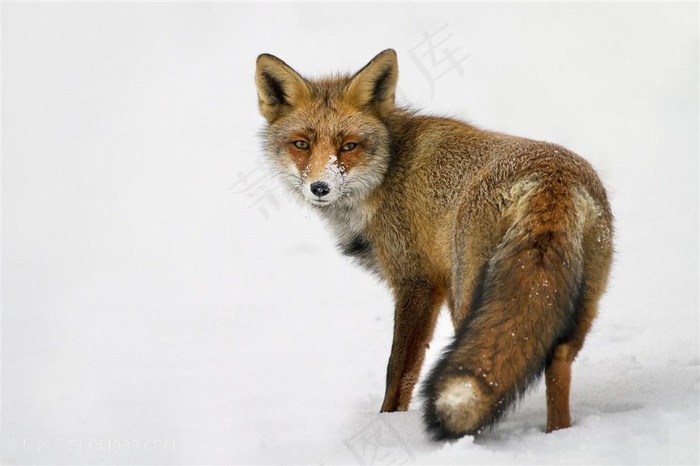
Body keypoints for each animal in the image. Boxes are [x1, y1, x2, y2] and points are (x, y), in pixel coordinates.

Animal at [256, 49, 612, 438]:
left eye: (348, 146)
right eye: (301, 144)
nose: (320, 187)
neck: (387, 173)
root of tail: (552, 181)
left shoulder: (417, 282)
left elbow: (398, 372)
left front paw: (388, 422)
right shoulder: (435, 286)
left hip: (469, 294)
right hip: (571, 303)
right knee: (555, 357)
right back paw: (557, 435)